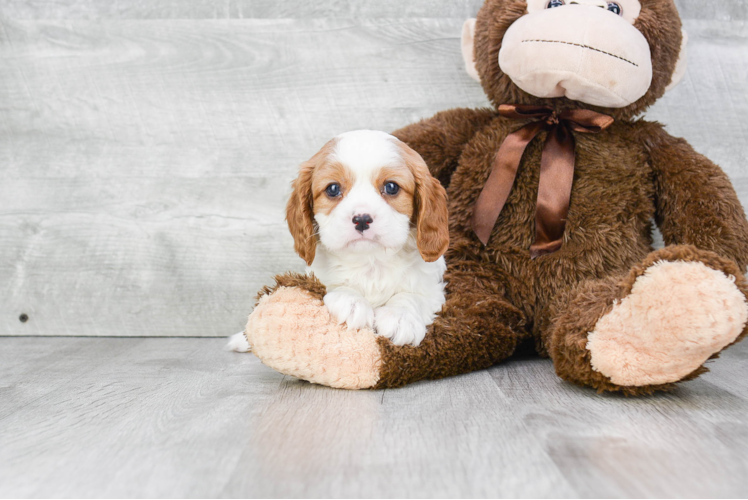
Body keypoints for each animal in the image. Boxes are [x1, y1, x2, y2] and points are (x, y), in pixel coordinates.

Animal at [284, 131, 450, 346]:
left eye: (391, 187)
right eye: (333, 189)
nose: (362, 219)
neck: (371, 261)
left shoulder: (433, 289)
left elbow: (413, 296)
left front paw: (400, 316)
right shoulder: (317, 277)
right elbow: (336, 285)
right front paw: (351, 301)